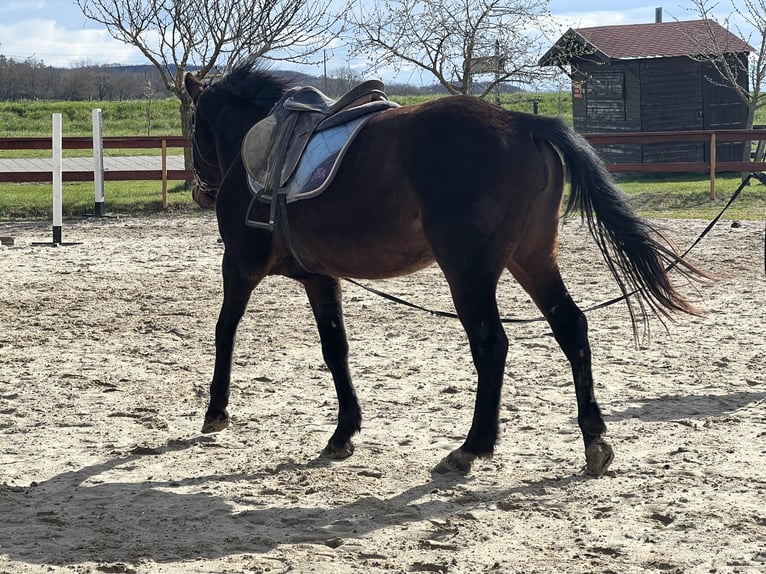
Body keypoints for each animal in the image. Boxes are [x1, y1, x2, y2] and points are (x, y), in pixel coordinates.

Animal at [184, 62, 708, 476]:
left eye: (193, 128)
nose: (200, 191)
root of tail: (519, 122)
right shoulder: (320, 278)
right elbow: (336, 349)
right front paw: (344, 431)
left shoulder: (240, 264)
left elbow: (225, 331)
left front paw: (216, 411)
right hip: (533, 257)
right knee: (571, 326)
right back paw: (594, 439)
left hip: (468, 272)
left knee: (492, 344)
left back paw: (472, 447)